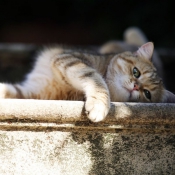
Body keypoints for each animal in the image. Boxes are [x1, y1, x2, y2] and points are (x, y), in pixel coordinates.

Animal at [0, 40, 174, 122]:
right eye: (136, 72)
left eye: (147, 94)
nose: (136, 87)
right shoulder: (68, 60)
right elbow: (96, 78)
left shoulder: (39, 92)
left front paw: (99, 106)